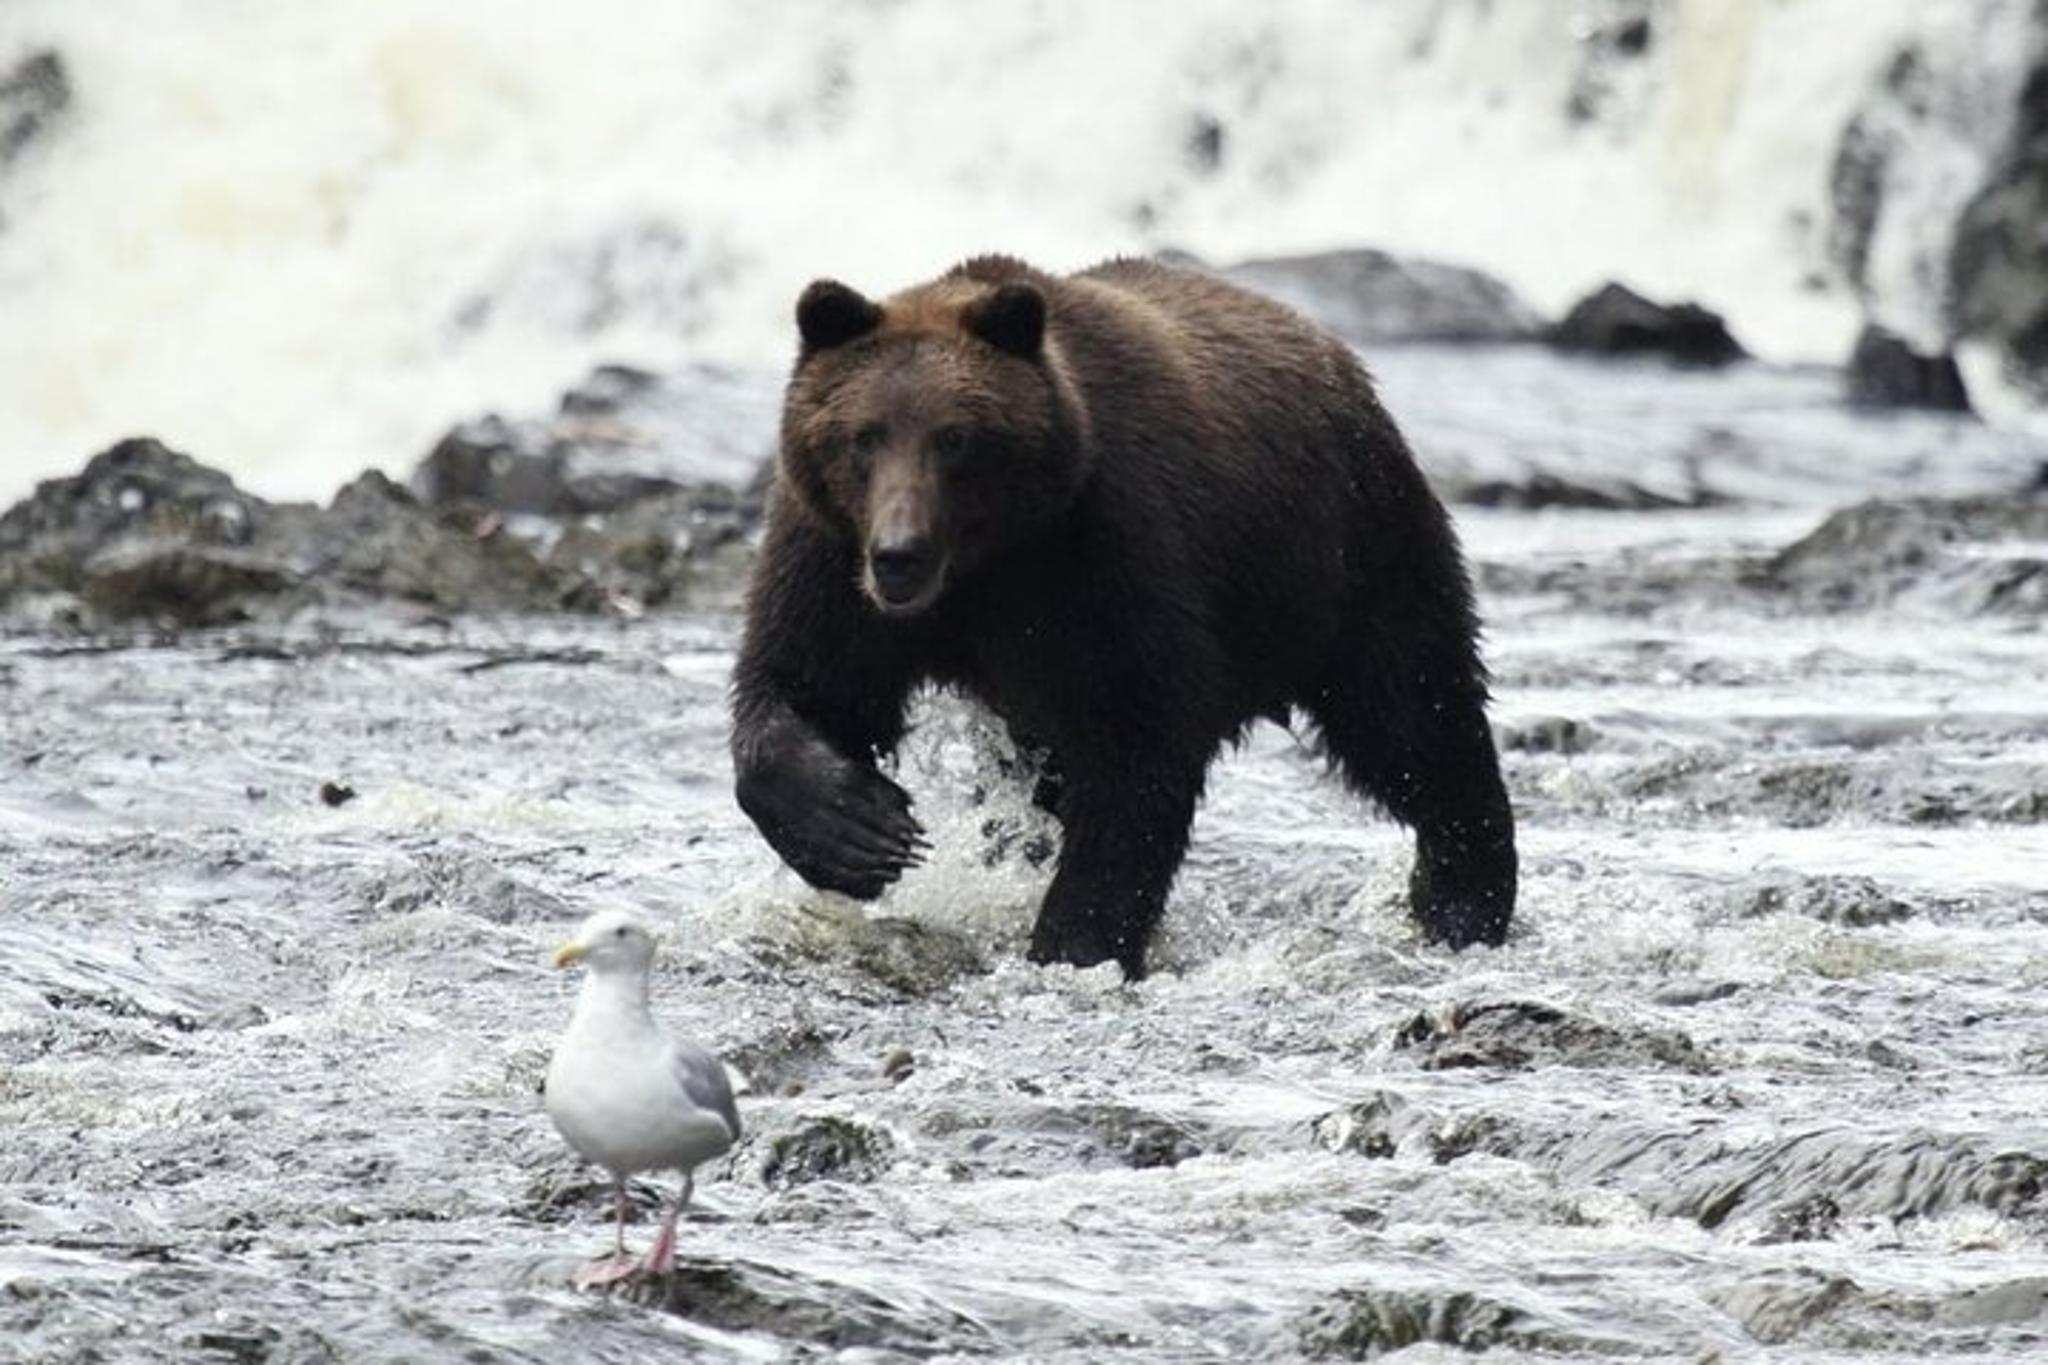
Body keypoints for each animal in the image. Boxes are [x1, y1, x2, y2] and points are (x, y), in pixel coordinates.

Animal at [730, 254, 1515, 978]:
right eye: (863, 435)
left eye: (954, 438)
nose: (900, 554)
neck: (988, 566)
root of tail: (1337, 356)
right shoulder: (831, 556)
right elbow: (806, 684)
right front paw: (857, 829)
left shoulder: (1109, 552)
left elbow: (1137, 747)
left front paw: (1075, 940)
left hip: (1347, 550)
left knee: (1411, 713)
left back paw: (1462, 896)